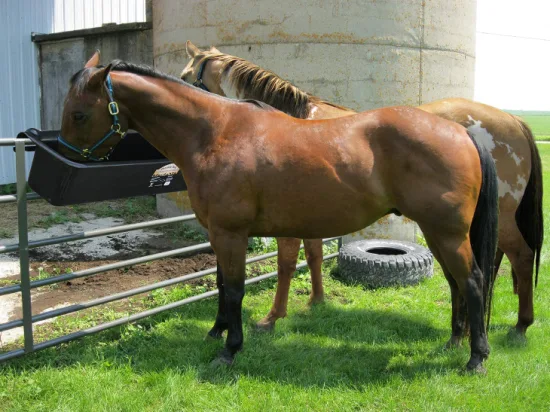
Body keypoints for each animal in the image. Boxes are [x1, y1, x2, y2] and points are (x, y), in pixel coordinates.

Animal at [59, 50, 500, 370]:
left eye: (79, 113)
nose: (66, 161)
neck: (215, 133)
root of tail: (461, 131)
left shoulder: (231, 233)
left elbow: (235, 289)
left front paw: (230, 349)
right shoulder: (218, 233)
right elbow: (222, 285)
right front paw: (216, 332)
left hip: (447, 233)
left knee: (473, 281)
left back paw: (476, 358)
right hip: (437, 231)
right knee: (456, 282)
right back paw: (453, 342)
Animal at [183, 40, 544, 340]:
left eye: (186, 76)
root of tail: (514, 121)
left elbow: (286, 265)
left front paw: (273, 318)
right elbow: (314, 256)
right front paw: (316, 301)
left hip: (500, 218)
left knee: (522, 257)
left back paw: (521, 325)